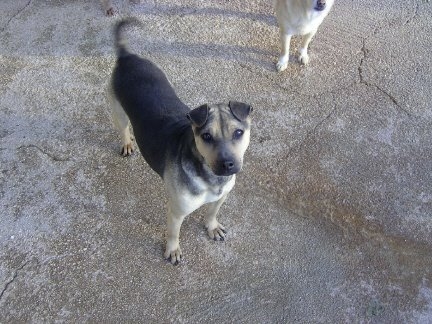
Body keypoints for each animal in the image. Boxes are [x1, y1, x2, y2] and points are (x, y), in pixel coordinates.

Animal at [107, 19, 253, 264]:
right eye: (206, 136)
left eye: (238, 132)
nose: (227, 164)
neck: (210, 178)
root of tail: (127, 56)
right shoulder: (176, 211)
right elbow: (173, 233)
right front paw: (173, 250)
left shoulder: (221, 196)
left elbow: (212, 212)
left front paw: (212, 226)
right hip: (118, 111)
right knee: (124, 127)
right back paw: (127, 142)